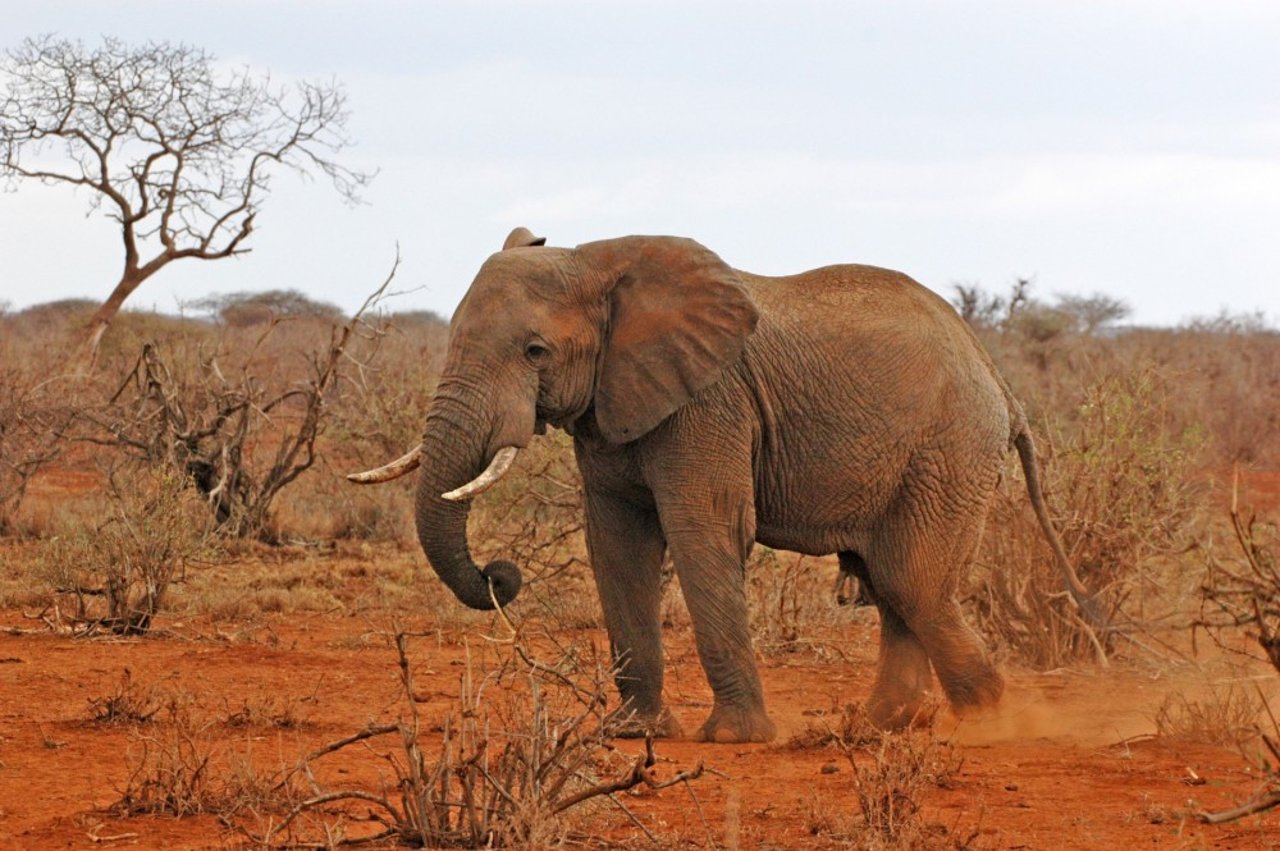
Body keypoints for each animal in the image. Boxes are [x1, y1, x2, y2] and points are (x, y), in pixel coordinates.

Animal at [350, 229, 1100, 742]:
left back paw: (989, 722)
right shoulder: (615, 404)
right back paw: (881, 726)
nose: (501, 574)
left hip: (948, 451)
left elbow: (702, 531)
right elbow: (617, 544)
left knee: (913, 581)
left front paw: (734, 739)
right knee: (892, 584)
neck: (597, 257)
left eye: (535, 352)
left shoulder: (709, 402)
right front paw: (633, 733)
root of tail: (998, 376)